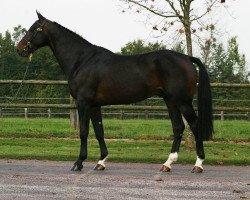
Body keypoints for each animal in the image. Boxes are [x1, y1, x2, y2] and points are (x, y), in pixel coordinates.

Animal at [17, 11, 213, 173]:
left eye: (34, 29)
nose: (19, 49)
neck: (82, 60)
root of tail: (187, 57)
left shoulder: (83, 103)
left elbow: (83, 132)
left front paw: (78, 163)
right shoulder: (94, 105)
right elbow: (99, 131)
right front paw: (101, 162)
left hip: (182, 101)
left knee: (194, 125)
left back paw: (198, 164)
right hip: (170, 100)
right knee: (178, 127)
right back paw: (167, 164)